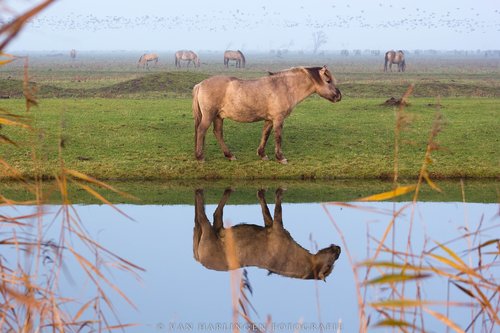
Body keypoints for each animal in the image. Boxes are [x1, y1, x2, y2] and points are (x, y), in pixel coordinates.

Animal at [193, 64, 342, 163]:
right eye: (328, 81)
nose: (339, 96)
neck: (284, 86)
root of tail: (200, 85)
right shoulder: (278, 119)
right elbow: (278, 137)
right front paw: (281, 158)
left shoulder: (269, 119)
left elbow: (265, 134)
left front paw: (262, 154)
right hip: (209, 116)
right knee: (201, 131)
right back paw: (200, 157)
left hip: (218, 116)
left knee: (218, 133)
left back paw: (229, 155)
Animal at [193, 188, 342, 278]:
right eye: (329, 265)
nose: (339, 248)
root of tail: (200, 259)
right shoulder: (277, 226)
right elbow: (277, 208)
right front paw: (278, 192)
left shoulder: (270, 225)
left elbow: (265, 208)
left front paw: (261, 192)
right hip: (208, 230)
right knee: (203, 215)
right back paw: (201, 192)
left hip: (211, 229)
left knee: (212, 215)